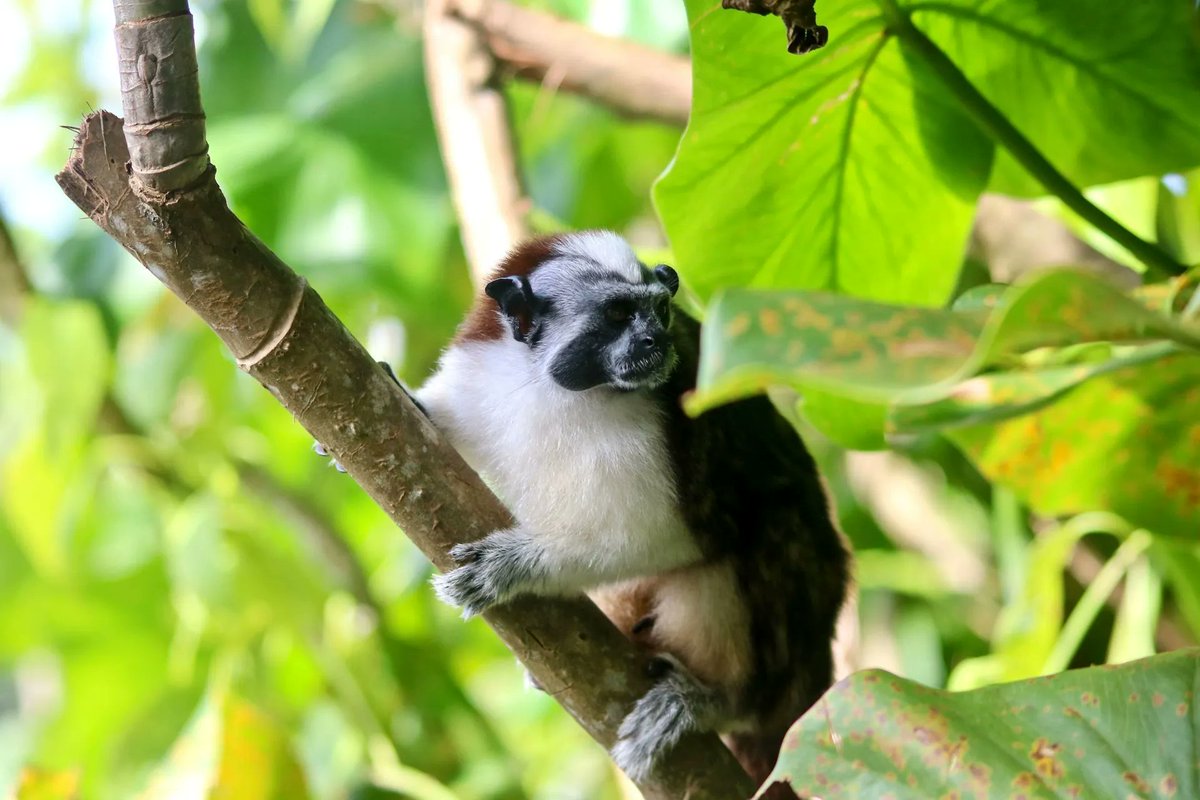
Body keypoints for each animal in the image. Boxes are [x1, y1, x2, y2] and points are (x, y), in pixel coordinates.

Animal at [330, 231, 850, 794]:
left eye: (659, 312)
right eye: (618, 315)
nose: (654, 342)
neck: (548, 388)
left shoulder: (658, 423)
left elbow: (661, 538)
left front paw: (509, 567)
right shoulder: (481, 372)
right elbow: (443, 421)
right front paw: (400, 399)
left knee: (758, 538)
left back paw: (717, 700)